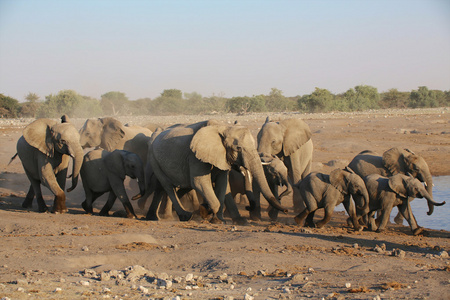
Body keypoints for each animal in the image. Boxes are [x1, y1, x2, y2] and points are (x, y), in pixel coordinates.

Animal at [148, 119, 288, 223]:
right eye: (238, 148)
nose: (286, 211)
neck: (222, 128)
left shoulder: (221, 157)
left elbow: (222, 183)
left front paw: (218, 221)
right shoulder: (195, 156)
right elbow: (199, 182)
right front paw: (204, 211)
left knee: (165, 188)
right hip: (154, 159)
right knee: (168, 186)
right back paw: (185, 216)